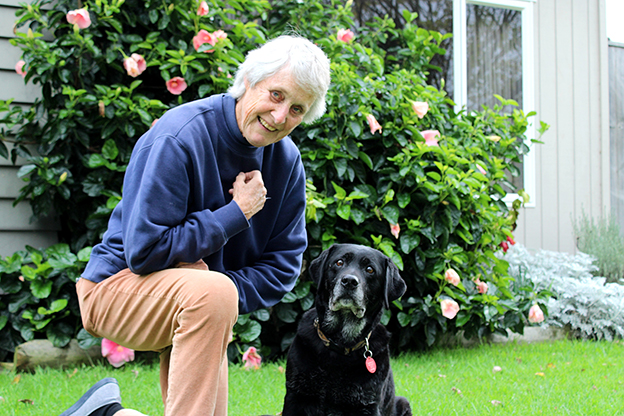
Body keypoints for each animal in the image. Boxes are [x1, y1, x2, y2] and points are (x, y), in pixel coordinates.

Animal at [280, 244, 412, 416]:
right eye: (339, 262)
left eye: (370, 269)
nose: (349, 281)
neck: (340, 341)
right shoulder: (295, 397)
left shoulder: (368, 404)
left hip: (403, 402)